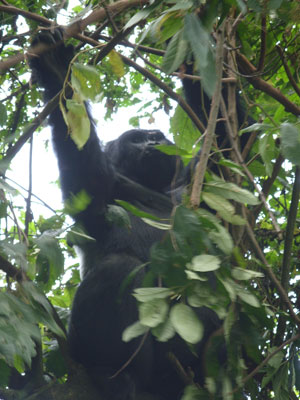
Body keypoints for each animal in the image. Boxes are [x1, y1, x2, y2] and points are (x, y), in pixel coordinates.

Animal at [29, 29, 223, 398]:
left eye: (157, 135)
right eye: (136, 139)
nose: (154, 141)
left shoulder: (198, 184)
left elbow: (227, 139)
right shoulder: (108, 192)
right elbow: (87, 181)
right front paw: (57, 71)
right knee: (119, 269)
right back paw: (113, 372)